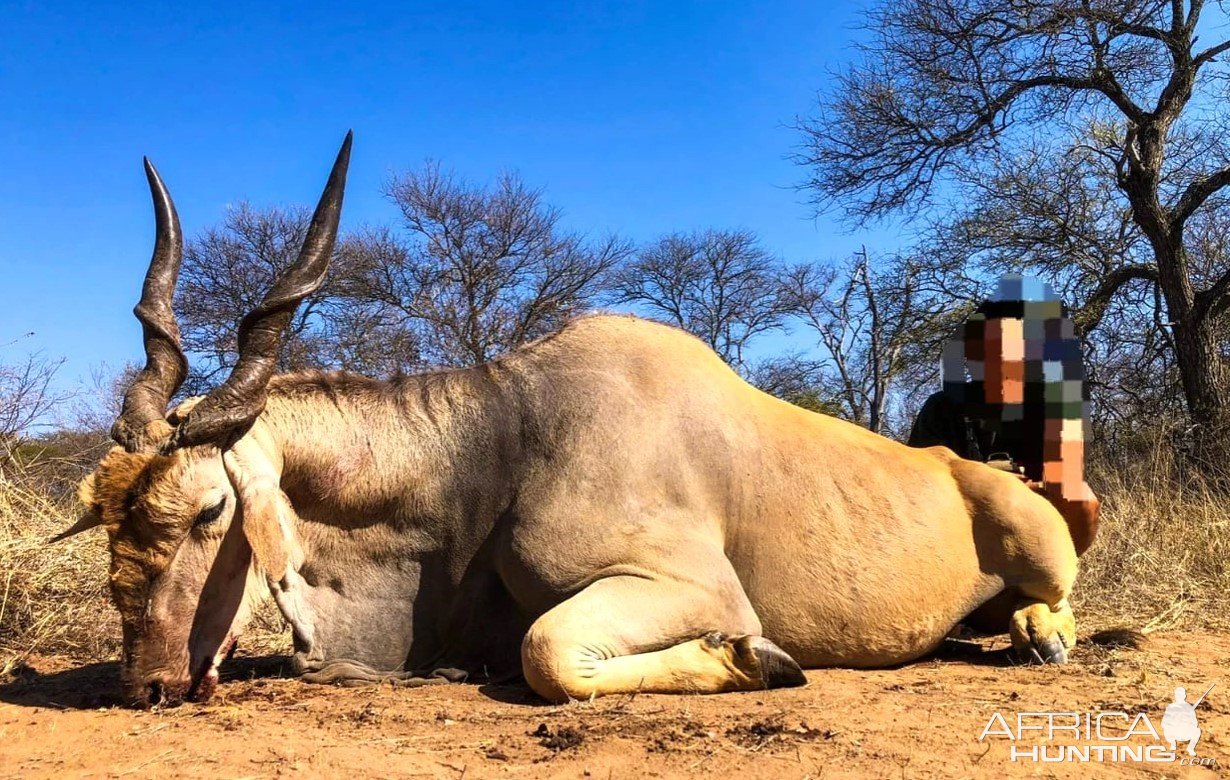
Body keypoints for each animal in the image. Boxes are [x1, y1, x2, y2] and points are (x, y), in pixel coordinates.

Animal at [55, 133, 1087, 703]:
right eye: (107, 519)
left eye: (208, 512)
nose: (147, 686)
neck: (500, 441)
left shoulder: (701, 590)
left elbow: (547, 651)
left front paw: (753, 661)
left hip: (1043, 540)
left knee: (1054, 596)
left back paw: (1044, 635)